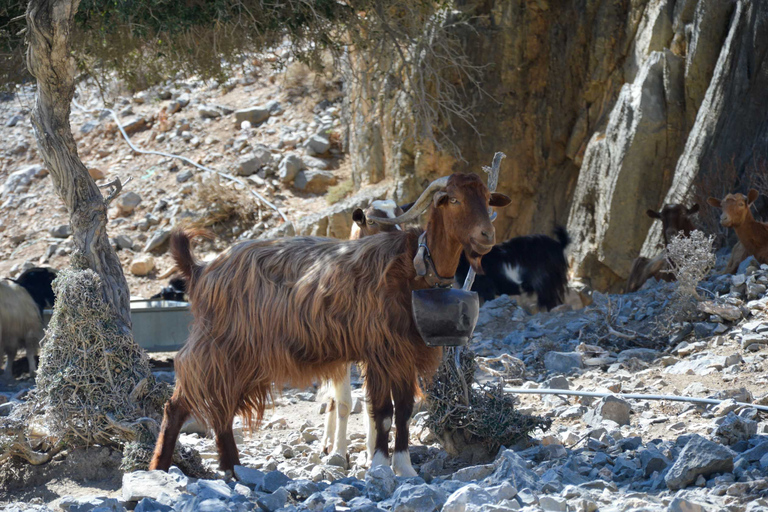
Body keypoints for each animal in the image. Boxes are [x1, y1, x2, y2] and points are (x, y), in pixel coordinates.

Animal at [150, 173, 510, 476]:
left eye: (486, 198)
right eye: (453, 199)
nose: (487, 235)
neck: (414, 267)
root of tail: (201, 270)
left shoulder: (404, 354)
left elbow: (404, 411)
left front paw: (405, 469)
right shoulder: (380, 351)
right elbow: (382, 411)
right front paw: (379, 466)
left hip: (238, 357)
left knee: (219, 408)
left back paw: (232, 468)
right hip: (218, 346)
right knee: (178, 403)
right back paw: (161, 468)